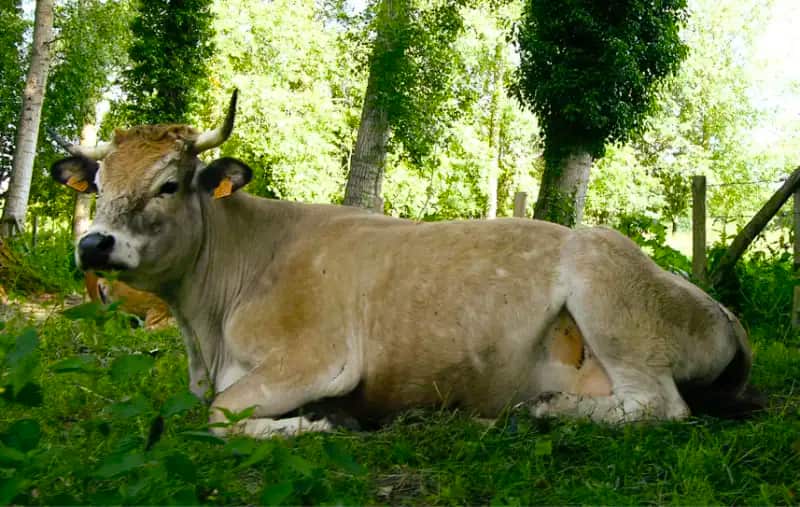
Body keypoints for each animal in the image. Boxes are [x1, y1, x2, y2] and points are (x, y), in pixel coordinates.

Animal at [51, 91, 762, 437]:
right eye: (99, 182)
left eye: (169, 185)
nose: (94, 245)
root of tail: (722, 310)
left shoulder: (318, 357)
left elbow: (220, 417)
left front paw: (319, 423)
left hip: (604, 285)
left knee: (658, 407)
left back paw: (545, 409)